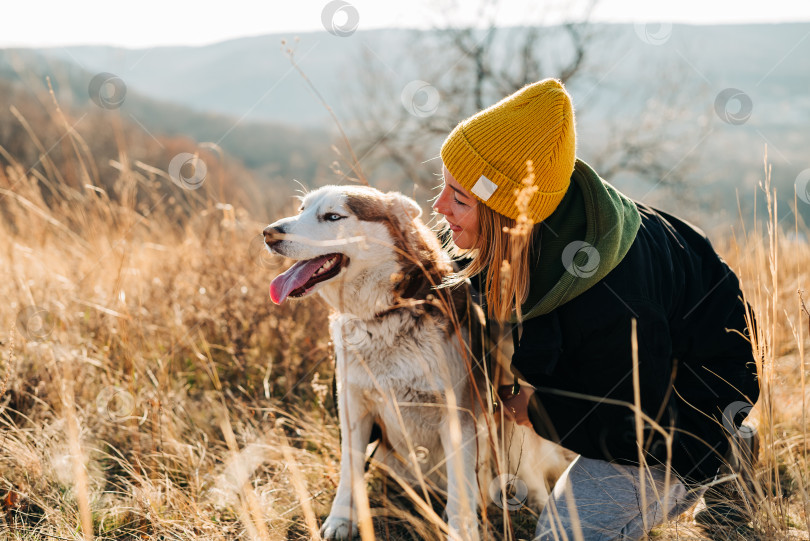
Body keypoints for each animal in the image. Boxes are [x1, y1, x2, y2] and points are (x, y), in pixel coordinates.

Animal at [262, 185, 564, 536]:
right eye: (302, 209)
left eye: (333, 216)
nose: (268, 233)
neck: (387, 315)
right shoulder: (354, 410)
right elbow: (350, 472)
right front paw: (341, 519)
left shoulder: (459, 417)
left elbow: (461, 494)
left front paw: (462, 531)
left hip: (511, 419)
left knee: (526, 473)